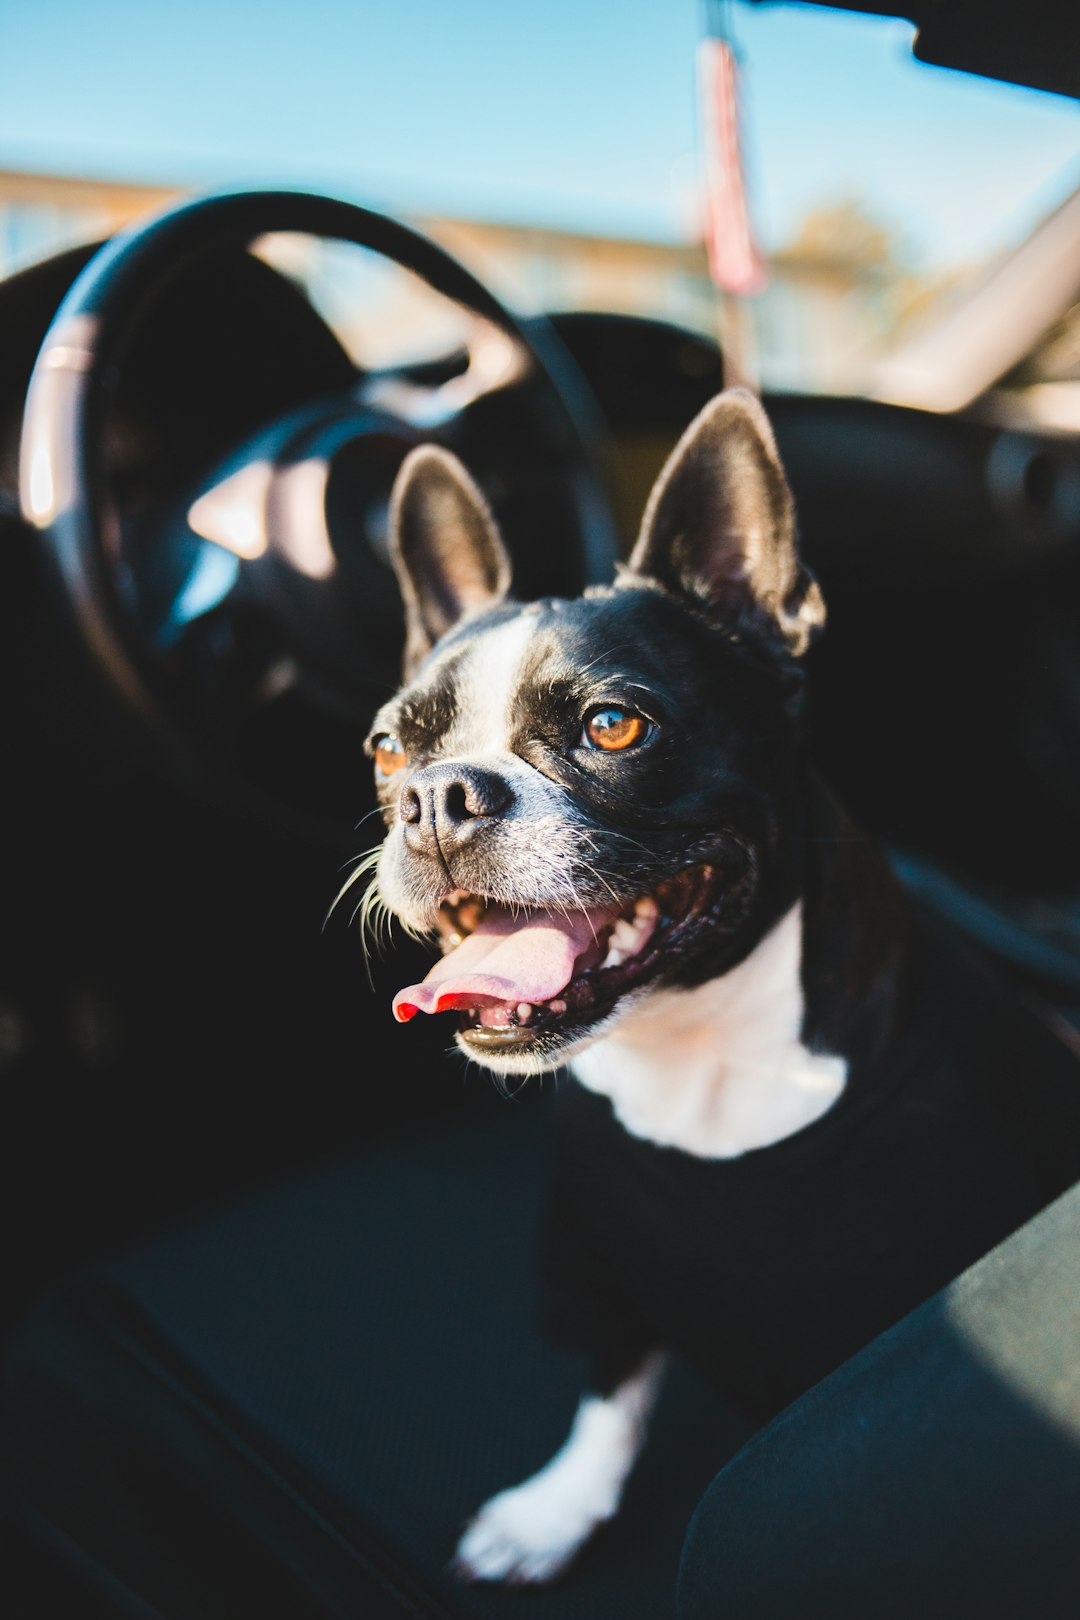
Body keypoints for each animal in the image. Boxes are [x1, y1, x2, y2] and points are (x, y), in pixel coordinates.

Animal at [359, 388, 1080, 1581]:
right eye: (385, 748)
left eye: (613, 726)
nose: (437, 795)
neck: (695, 1048)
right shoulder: (593, 1259)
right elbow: (609, 1392)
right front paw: (557, 1509)